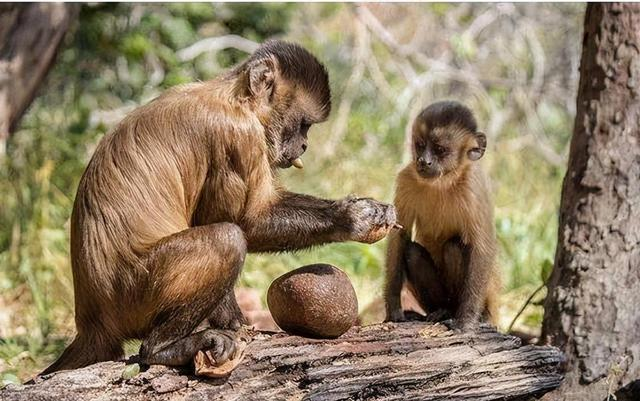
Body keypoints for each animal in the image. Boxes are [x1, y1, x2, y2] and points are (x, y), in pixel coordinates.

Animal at [42, 39, 396, 374]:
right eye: (304, 124)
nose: (305, 145)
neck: (234, 98)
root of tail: (92, 320)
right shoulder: (237, 135)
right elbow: (244, 222)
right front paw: (354, 217)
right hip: (132, 296)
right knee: (227, 237)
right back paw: (161, 349)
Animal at [384, 100, 500, 328]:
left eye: (439, 149)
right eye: (420, 145)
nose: (423, 161)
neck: (443, 182)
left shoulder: (473, 187)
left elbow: (483, 248)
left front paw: (466, 321)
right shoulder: (407, 178)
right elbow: (399, 236)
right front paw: (393, 309)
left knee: (455, 246)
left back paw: (466, 314)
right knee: (412, 252)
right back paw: (441, 310)